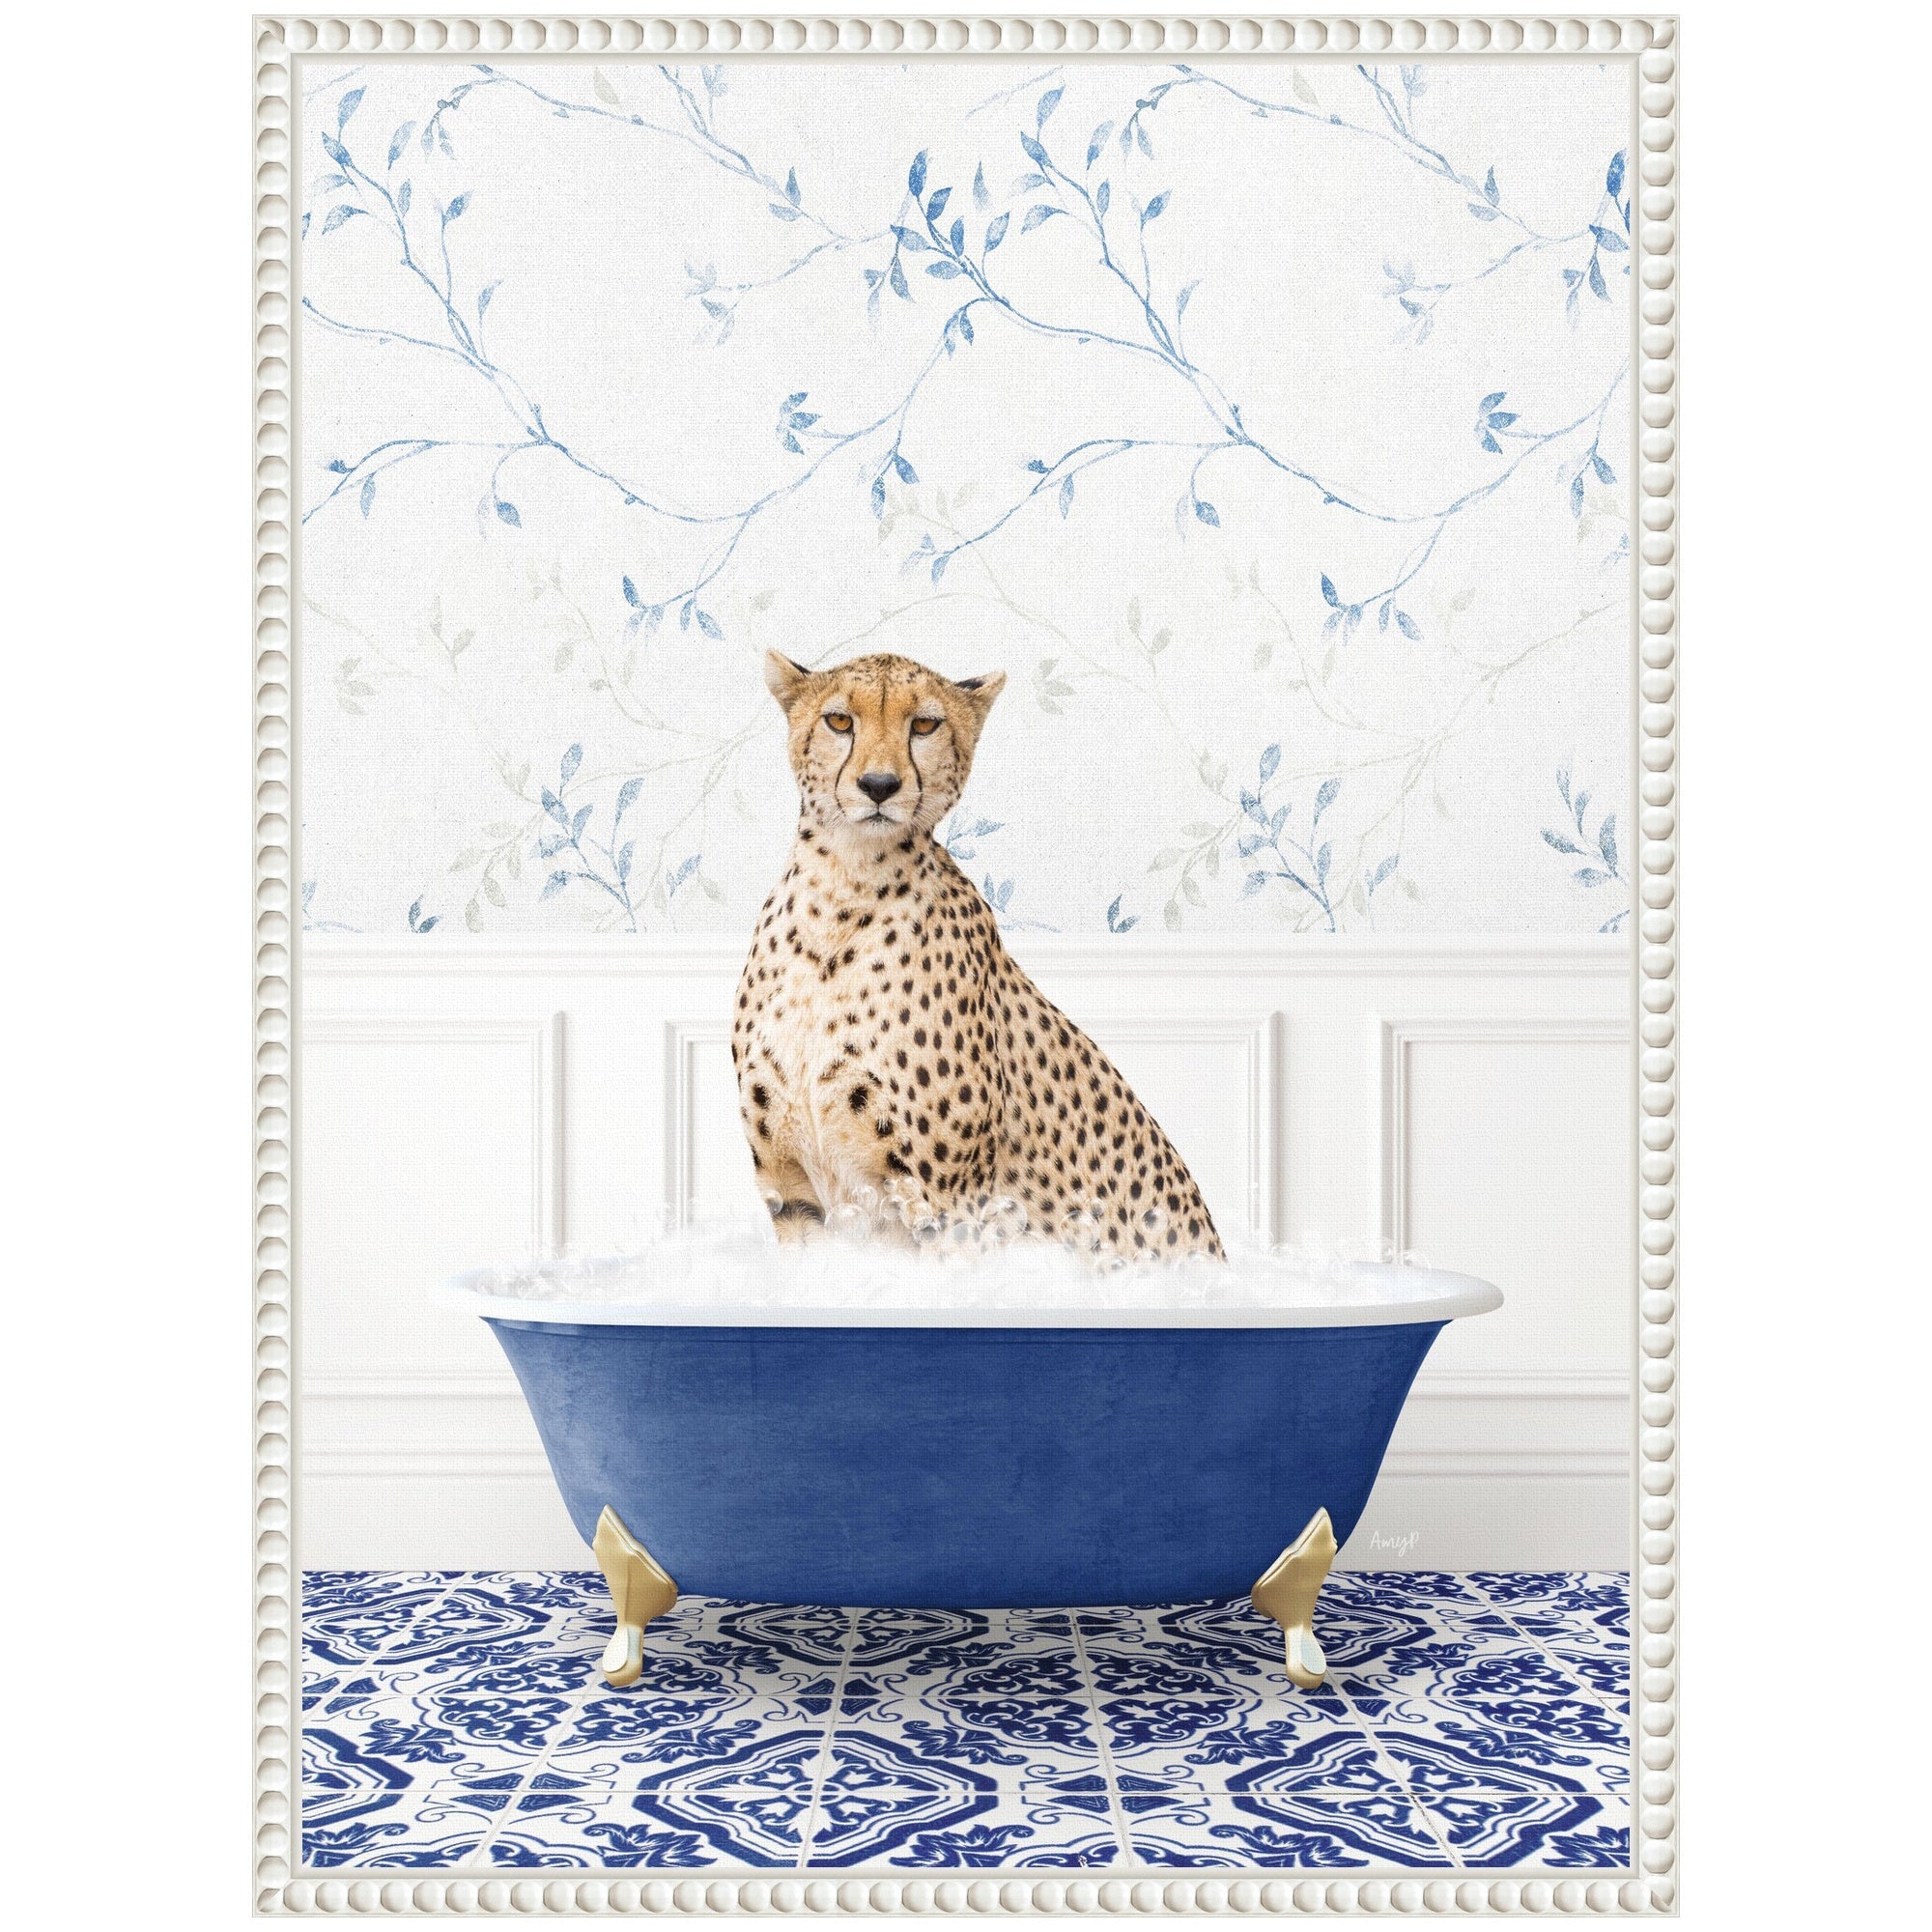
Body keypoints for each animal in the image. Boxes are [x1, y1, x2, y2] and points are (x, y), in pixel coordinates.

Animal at [732, 649, 1223, 1262]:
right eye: (839, 721)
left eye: (924, 725)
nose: (878, 785)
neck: (843, 889)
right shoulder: (793, 1193)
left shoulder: (949, 1206)